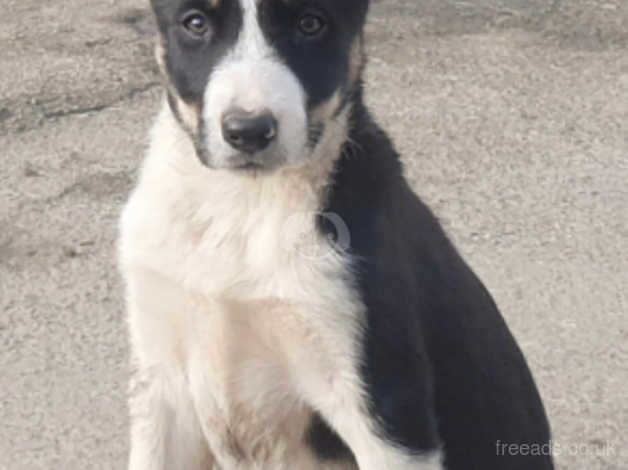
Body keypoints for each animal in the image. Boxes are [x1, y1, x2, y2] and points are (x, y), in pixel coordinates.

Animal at [119, 1, 556, 468]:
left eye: (310, 24)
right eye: (195, 23)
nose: (249, 132)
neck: (243, 204)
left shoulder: (384, 403)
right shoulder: (161, 382)